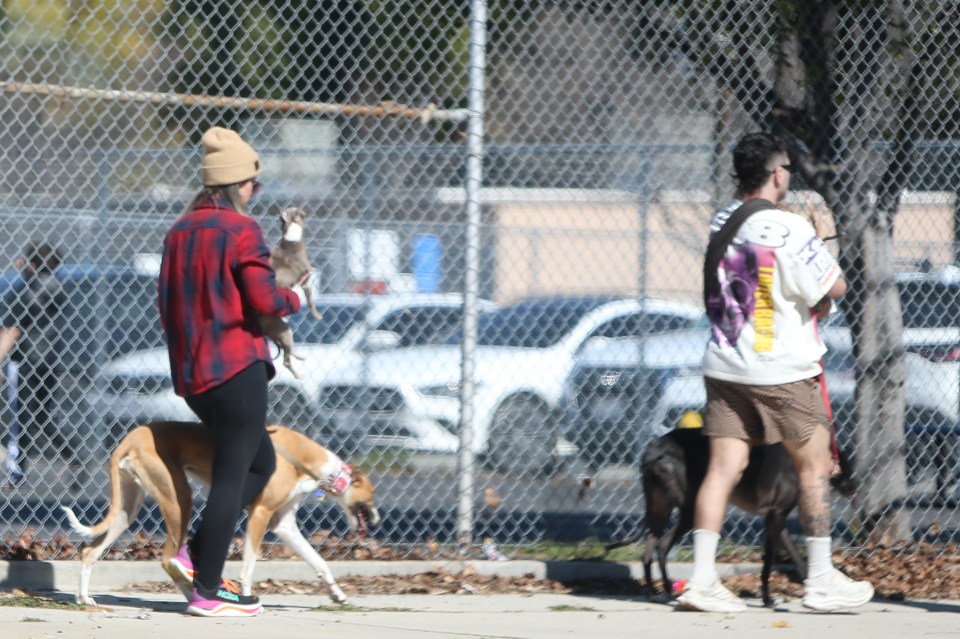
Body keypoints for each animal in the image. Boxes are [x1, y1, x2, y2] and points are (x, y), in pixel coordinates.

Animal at [62, 422, 378, 608]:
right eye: (372, 496)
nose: (376, 521)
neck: (303, 459)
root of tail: (130, 438)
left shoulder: (284, 525)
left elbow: (319, 561)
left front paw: (337, 594)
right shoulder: (259, 514)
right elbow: (249, 565)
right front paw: (247, 594)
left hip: (127, 509)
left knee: (90, 552)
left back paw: (84, 598)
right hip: (179, 500)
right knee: (167, 558)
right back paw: (197, 597)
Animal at [258, 206, 322, 380]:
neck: (291, 239)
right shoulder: (306, 281)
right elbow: (311, 302)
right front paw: (317, 316)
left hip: (284, 332)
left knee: (289, 352)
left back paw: (301, 357)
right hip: (284, 331)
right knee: (286, 361)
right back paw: (299, 375)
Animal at [608, 428, 856, 608]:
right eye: (848, 467)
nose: (853, 489)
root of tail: (655, 451)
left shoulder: (775, 518)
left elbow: (797, 558)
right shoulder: (776, 516)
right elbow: (768, 564)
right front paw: (768, 599)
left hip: (661, 508)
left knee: (652, 548)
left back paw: (657, 592)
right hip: (689, 507)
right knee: (662, 544)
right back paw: (670, 592)